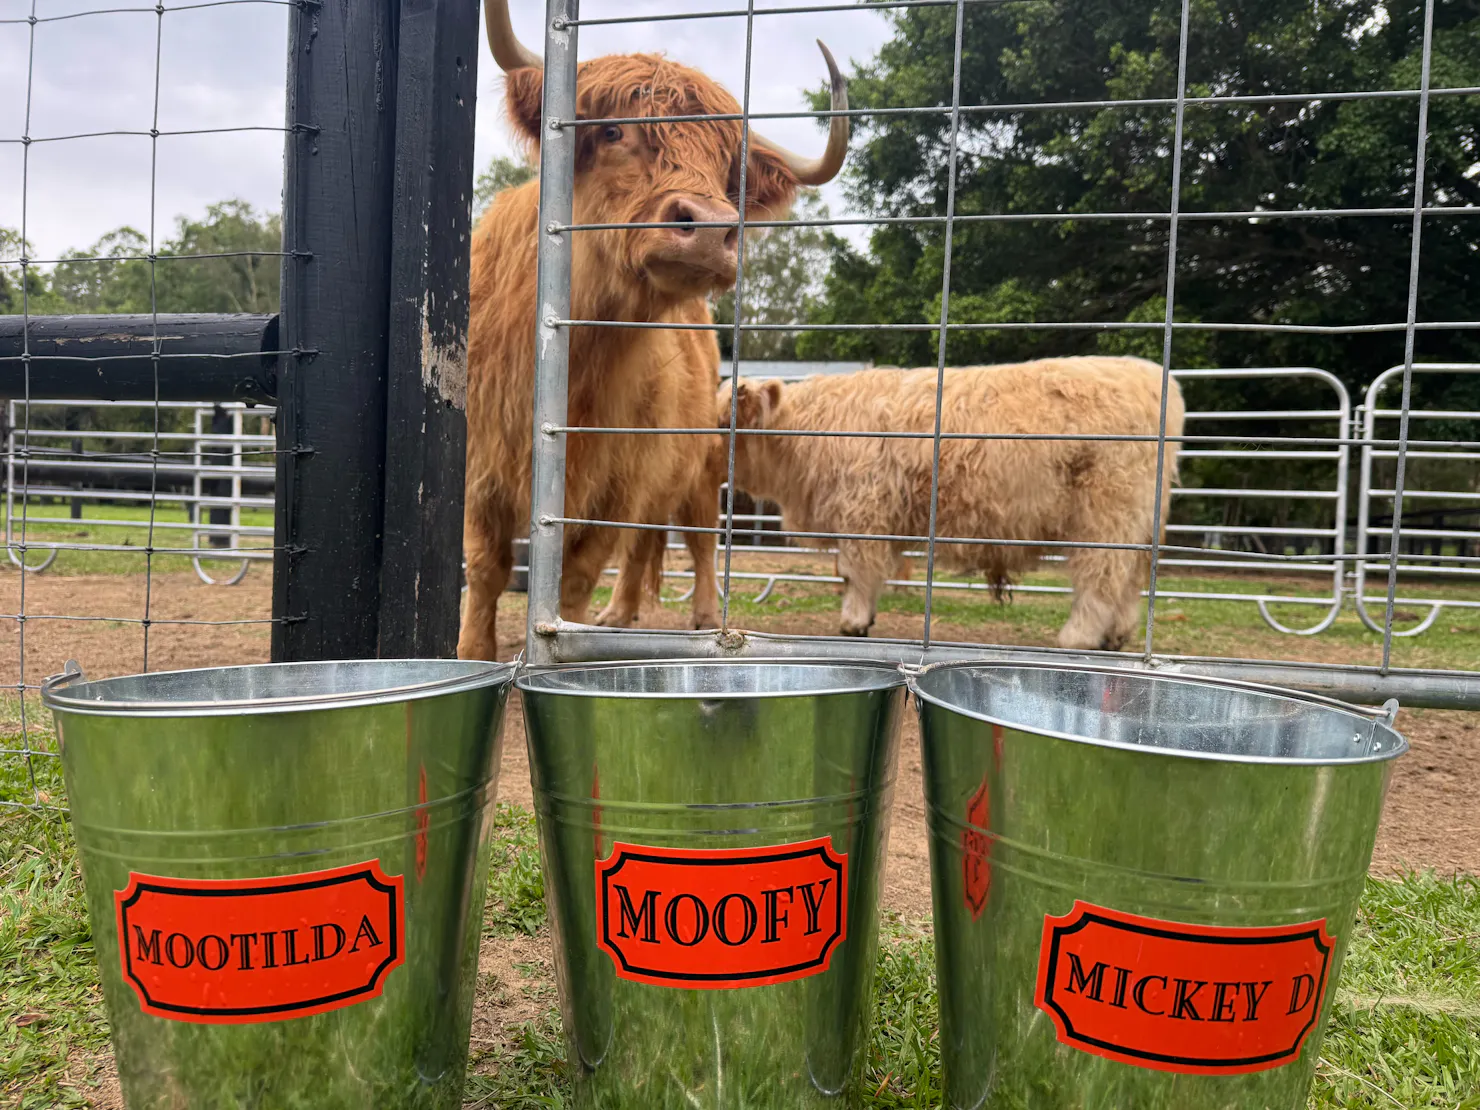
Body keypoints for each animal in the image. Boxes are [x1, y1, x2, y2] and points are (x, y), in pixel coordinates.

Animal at [458, 0, 849, 660]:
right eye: (615, 131)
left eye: (727, 166)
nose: (712, 229)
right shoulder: (480, 469)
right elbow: (485, 570)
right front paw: (470, 654)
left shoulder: (617, 484)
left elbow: (575, 579)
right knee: (647, 543)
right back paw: (621, 614)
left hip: (699, 472)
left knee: (696, 540)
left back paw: (698, 616)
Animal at [717, 357, 1185, 650]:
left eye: (725, 423)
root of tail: (1152, 377)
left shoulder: (863, 510)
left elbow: (857, 572)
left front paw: (854, 621)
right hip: (1137, 518)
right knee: (1131, 579)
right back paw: (1116, 636)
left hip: (1106, 511)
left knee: (1101, 575)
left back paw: (1079, 636)